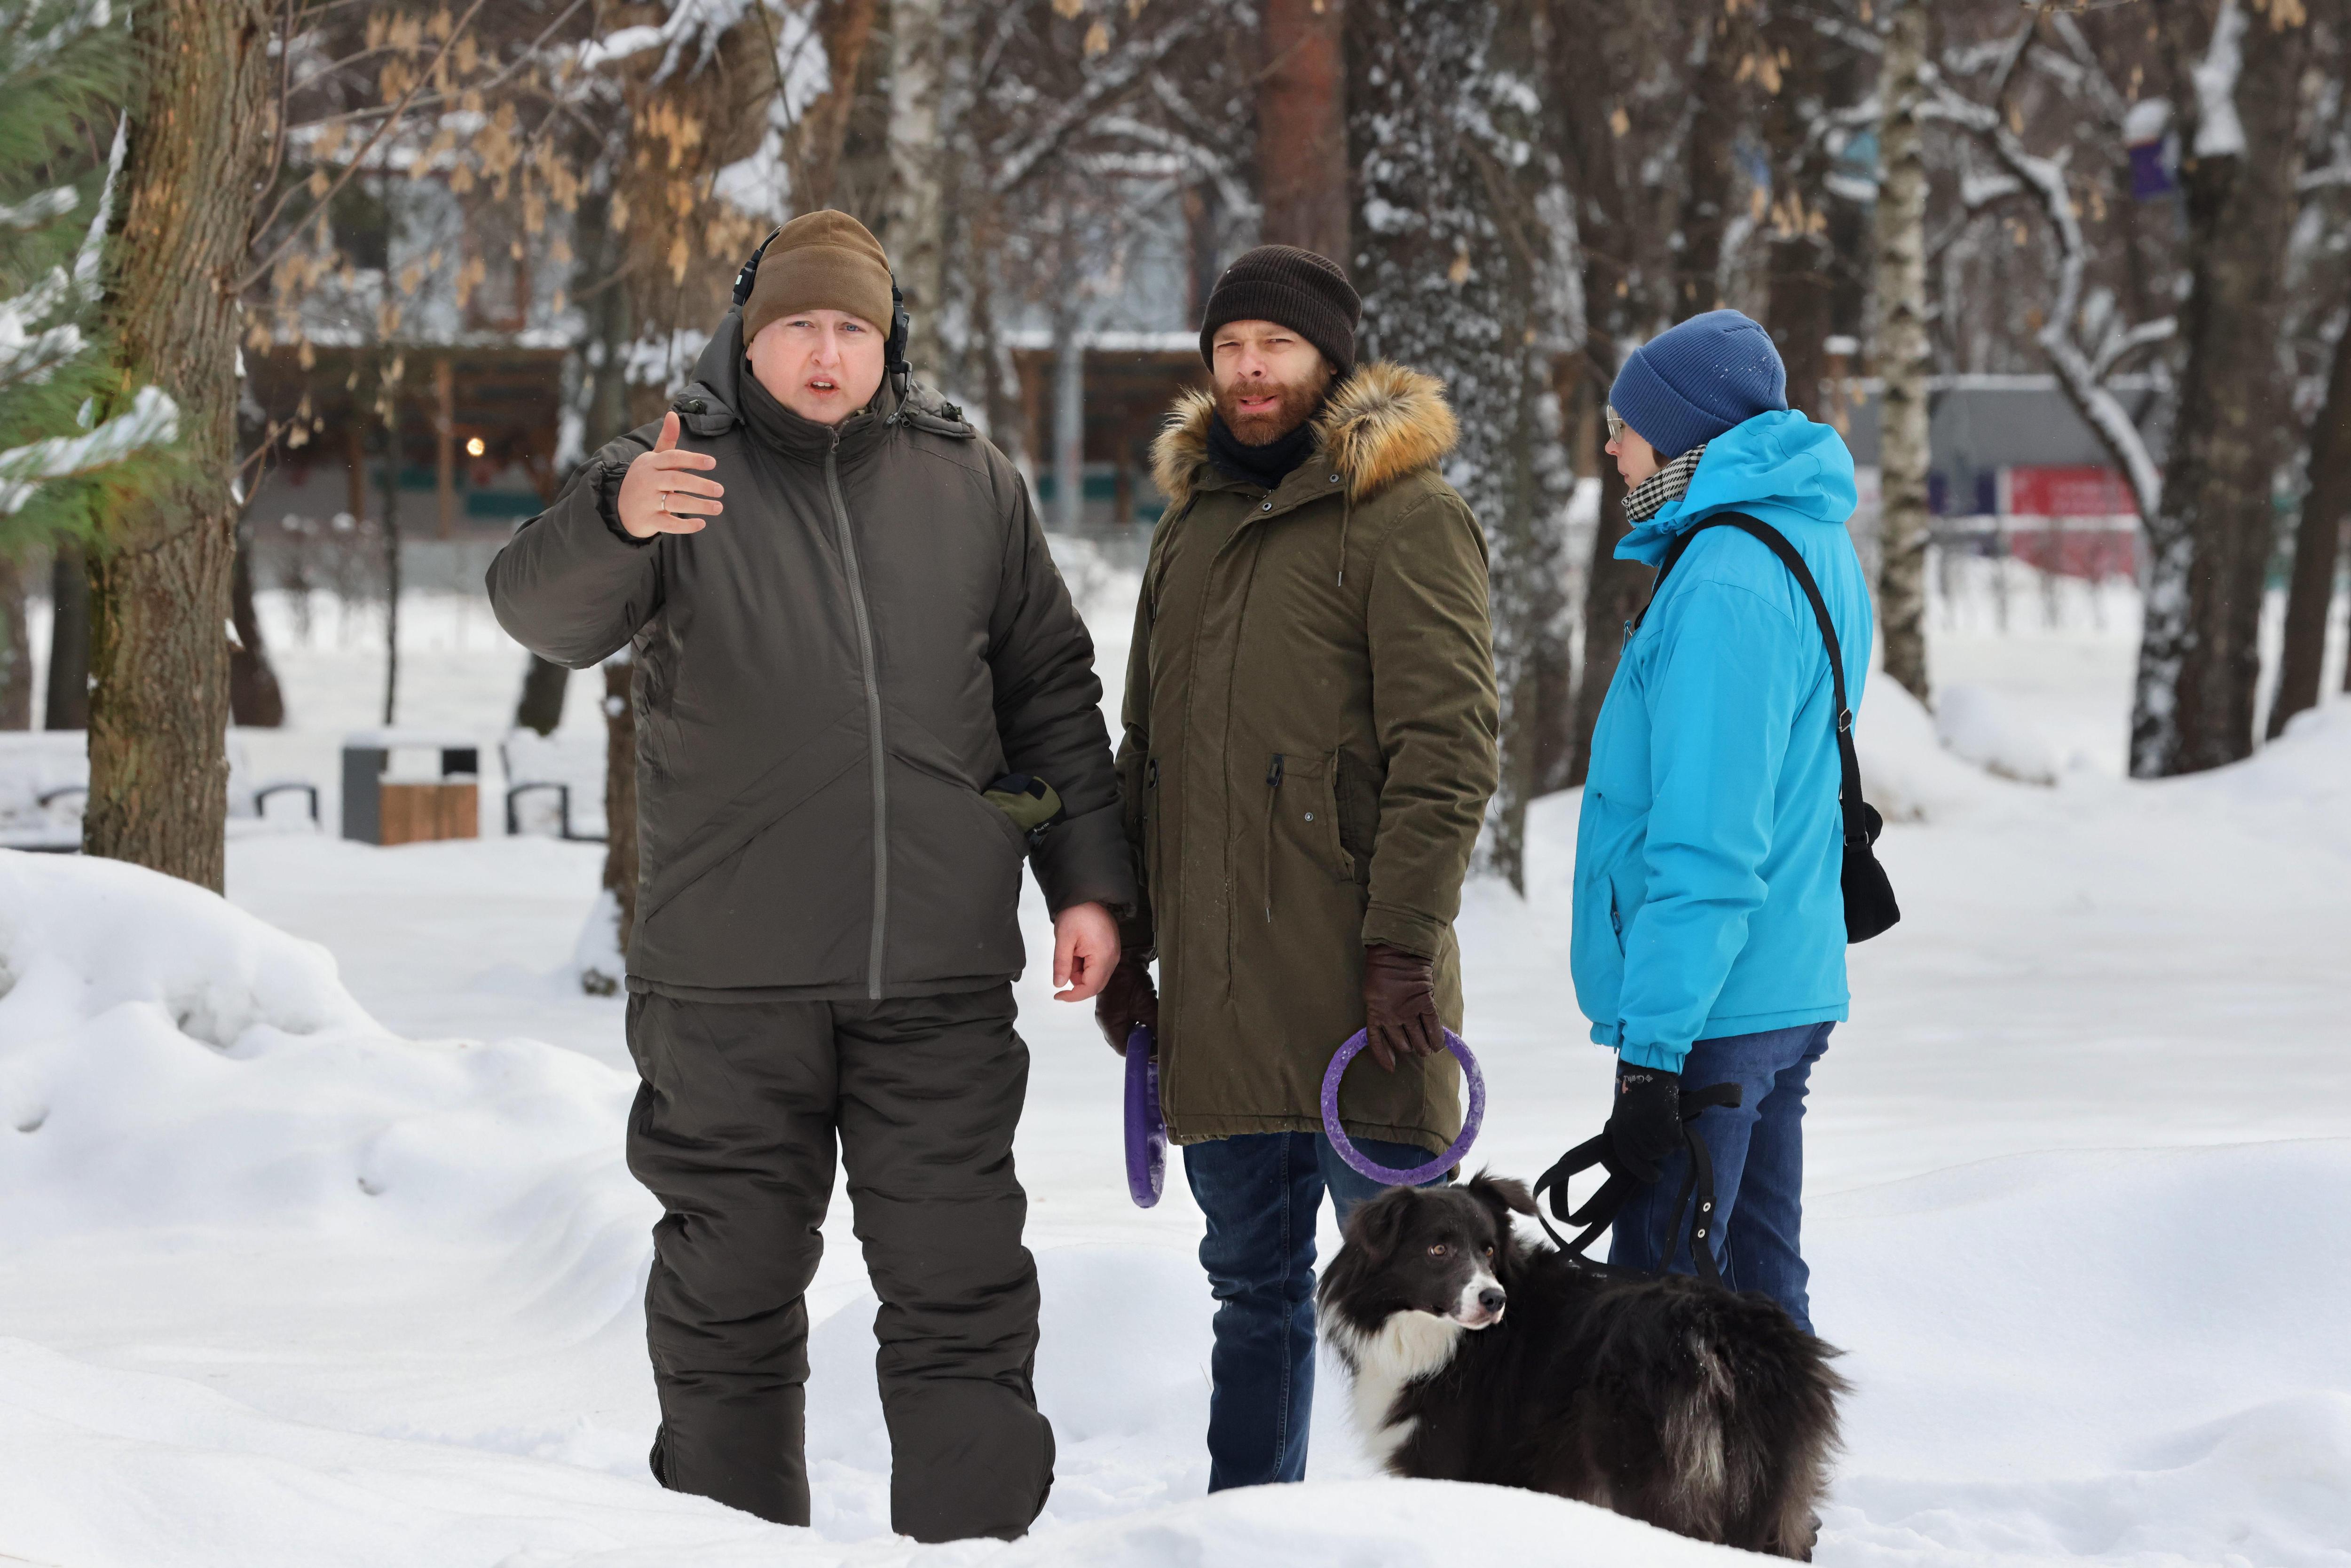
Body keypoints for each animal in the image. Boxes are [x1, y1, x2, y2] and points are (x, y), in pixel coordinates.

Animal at [1326, 1175, 1834, 1561]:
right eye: (1437, 1249)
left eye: (1488, 1250)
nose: (1494, 1300)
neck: (1441, 1336)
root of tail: (1726, 1335)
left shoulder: (1448, 1457)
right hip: (1762, 1476)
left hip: (1654, 1468)